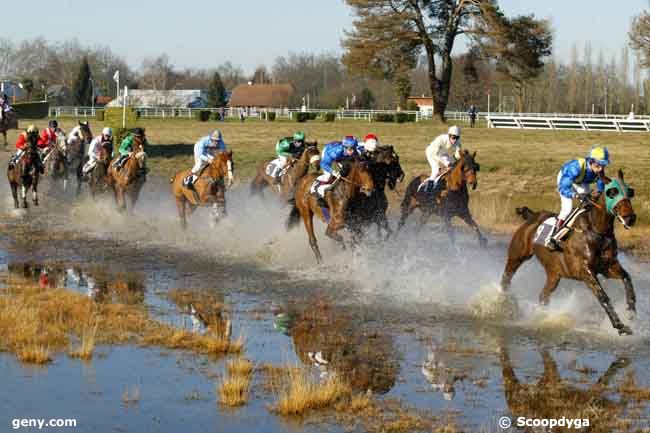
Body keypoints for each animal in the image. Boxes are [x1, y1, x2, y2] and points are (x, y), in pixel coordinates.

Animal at [498, 170, 636, 336]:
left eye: (629, 192)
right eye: (612, 192)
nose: (630, 217)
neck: (597, 231)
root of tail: (532, 216)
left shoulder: (608, 266)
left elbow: (627, 279)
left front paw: (631, 312)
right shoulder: (585, 270)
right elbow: (602, 296)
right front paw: (619, 325)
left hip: (553, 274)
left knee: (543, 296)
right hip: (517, 256)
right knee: (506, 279)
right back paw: (502, 303)